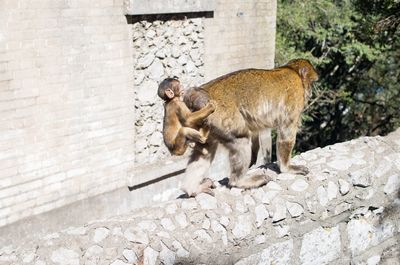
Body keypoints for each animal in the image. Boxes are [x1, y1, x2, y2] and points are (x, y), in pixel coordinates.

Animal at [182, 58, 318, 195]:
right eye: (311, 83)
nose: (311, 92)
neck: (293, 71)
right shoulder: (295, 98)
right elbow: (286, 132)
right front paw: (286, 168)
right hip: (220, 116)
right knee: (241, 139)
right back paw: (239, 181)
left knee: (205, 149)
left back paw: (192, 189)